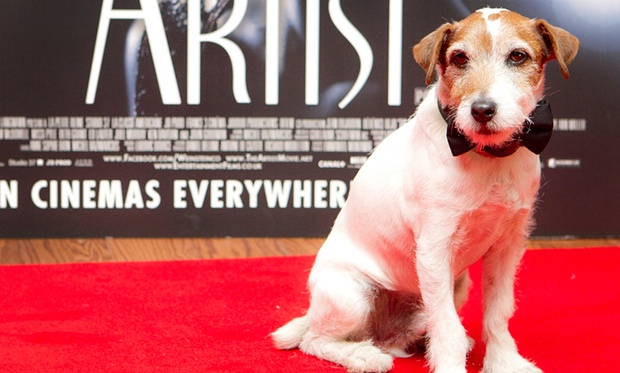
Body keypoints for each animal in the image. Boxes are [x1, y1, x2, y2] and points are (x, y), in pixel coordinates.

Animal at [274, 8, 580, 372]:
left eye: (518, 56)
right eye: (459, 58)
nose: (481, 110)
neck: (486, 155)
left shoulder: (507, 247)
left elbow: (498, 313)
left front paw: (504, 362)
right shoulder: (435, 247)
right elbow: (446, 325)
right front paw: (451, 364)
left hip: (457, 285)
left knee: (410, 332)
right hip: (351, 296)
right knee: (316, 340)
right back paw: (363, 355)